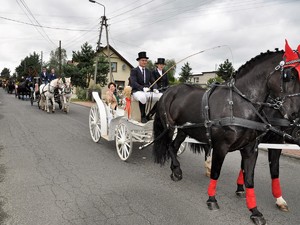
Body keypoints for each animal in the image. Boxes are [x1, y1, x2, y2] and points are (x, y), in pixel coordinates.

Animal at [152, 49, 300, 225]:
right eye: (289, 75)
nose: (295, 115)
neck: (238, 104)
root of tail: (168, 91)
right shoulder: (220, 147)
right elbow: (216, 172)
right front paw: (212, 200)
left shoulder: (251, 149)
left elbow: (250, 178)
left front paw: (255, 211)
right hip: (169, 128)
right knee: (169, 146)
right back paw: (176, 169)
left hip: (183, 130)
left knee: (174, 147)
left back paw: (176, 171)